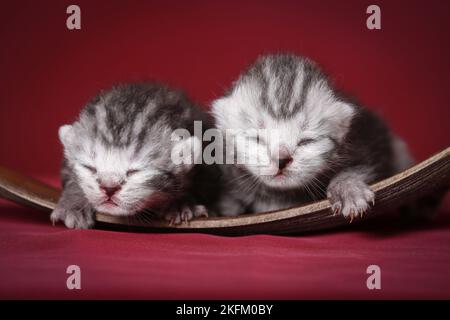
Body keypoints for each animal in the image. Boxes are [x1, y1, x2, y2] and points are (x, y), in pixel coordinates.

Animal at [211, 54, 412, 220]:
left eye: (306, 141)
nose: (281, 159)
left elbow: (363, 166)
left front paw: (348, 189)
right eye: (257, 138)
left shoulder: (370, 138)